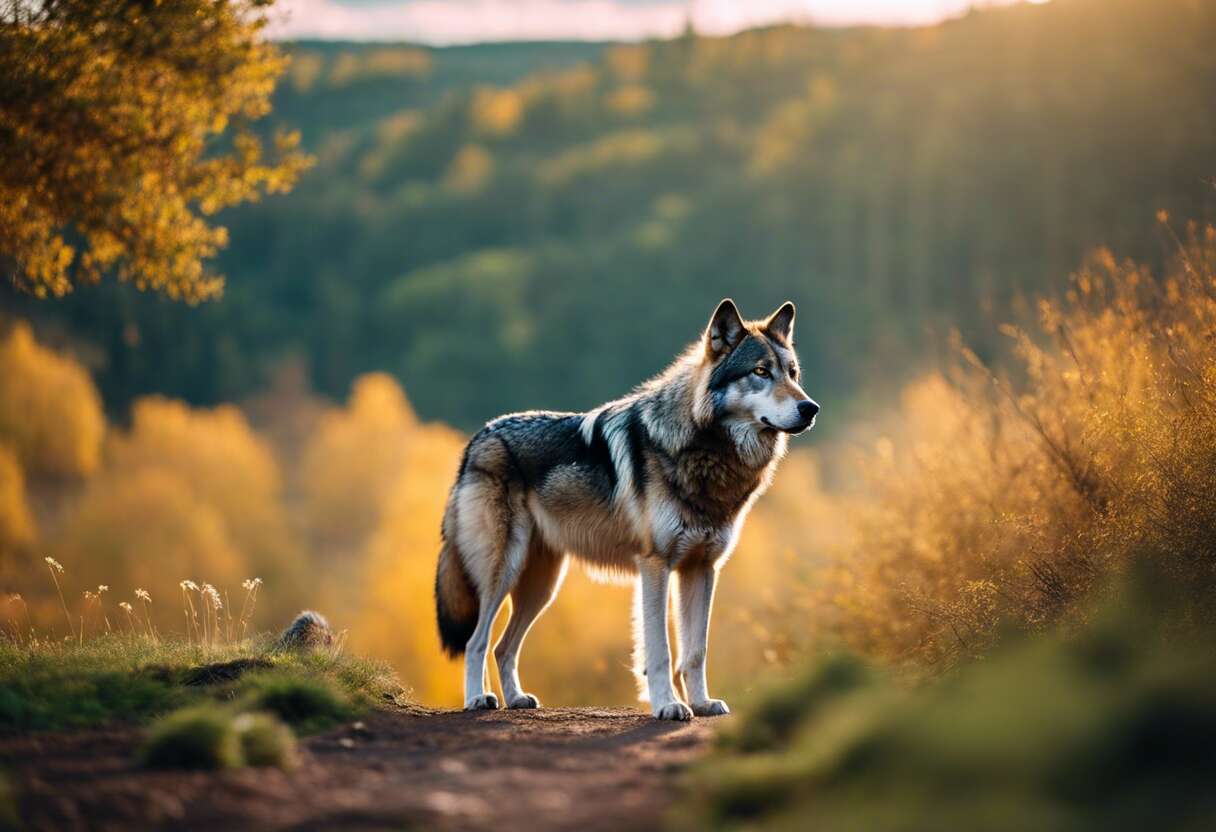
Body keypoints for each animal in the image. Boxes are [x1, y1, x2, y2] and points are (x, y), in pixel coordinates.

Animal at [434, 299, 818, 720]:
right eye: (761, 372)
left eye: (793, 373)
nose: (810, 408)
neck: (704, 453)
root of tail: (478, 438)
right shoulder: (655, 566)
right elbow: (661, 650)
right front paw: (669, 706)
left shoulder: (701, 568)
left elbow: (695, 651)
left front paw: (701, 704)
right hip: (504, 571)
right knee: (476, 642)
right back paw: (477, 699)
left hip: (541, 586)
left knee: (503, 646)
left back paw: (517, 699)